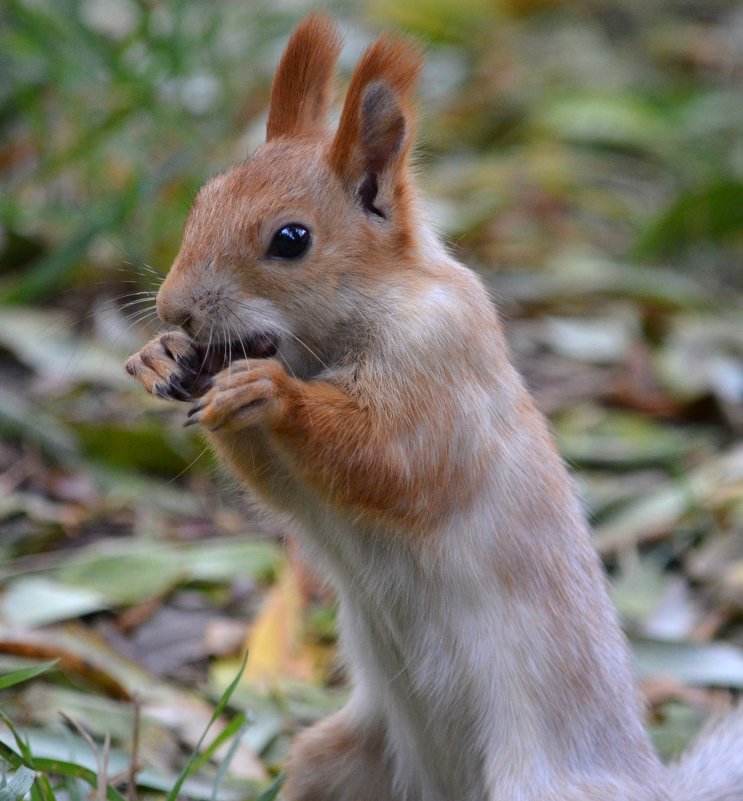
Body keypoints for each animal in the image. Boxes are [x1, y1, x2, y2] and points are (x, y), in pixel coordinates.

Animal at [125, 14, 743, 800]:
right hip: (338, 759)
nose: (173, 307)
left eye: (291, 239)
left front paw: (270, 394)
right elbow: (287, 487)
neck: (340, 335)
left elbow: (393, 463)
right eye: (204, 198)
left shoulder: (444, 368)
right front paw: (158, 357)